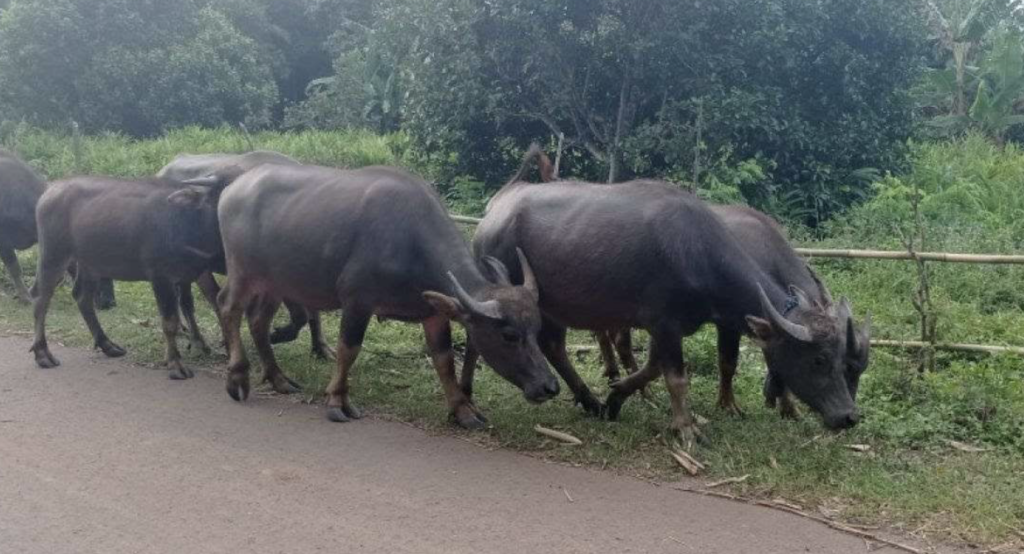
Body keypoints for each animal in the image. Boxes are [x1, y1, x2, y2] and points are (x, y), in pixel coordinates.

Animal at [30, 177, 226, 380]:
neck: (184, 222)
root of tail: (48, 192)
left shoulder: (187, 276)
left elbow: (192, 306)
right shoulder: (160, 277)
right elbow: (170, 322)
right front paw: (175, 363)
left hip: (90, 264)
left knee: (82, 297)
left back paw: (107, 345)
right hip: (53, 254)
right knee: (41, 296)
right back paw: (42, 353)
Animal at [155, 149, 331, 360]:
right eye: (220, 199)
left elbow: (309, 312)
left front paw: (320, 347)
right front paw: (274, 336)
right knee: (193, 300)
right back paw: (200, 341)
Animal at [210, 161, 557, 425]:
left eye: (537, 329)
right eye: (509, 335)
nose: (549, 386)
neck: (409, 241)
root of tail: (233, 188)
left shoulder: (433, 314)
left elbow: (444, 361)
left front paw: (463, 409)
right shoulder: (357, 302)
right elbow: (348, 349)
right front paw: (337, 401)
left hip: (274, 282)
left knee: (258, 321)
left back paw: (278, 378)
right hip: (243, 271)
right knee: (227, 306)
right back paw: (237, 377)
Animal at [468, 154, 860, 444]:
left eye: (845, 358)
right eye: (819, 360)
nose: (849, 416)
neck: (696, 252)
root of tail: (494, 212)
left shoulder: (668, 328)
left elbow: (652, 368)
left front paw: (616, 397)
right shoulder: (665, 323)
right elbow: (676, 377)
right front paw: (685, 427)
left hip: (552, 307)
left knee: (553, 346)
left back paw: (591, 400)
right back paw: (585, 398)